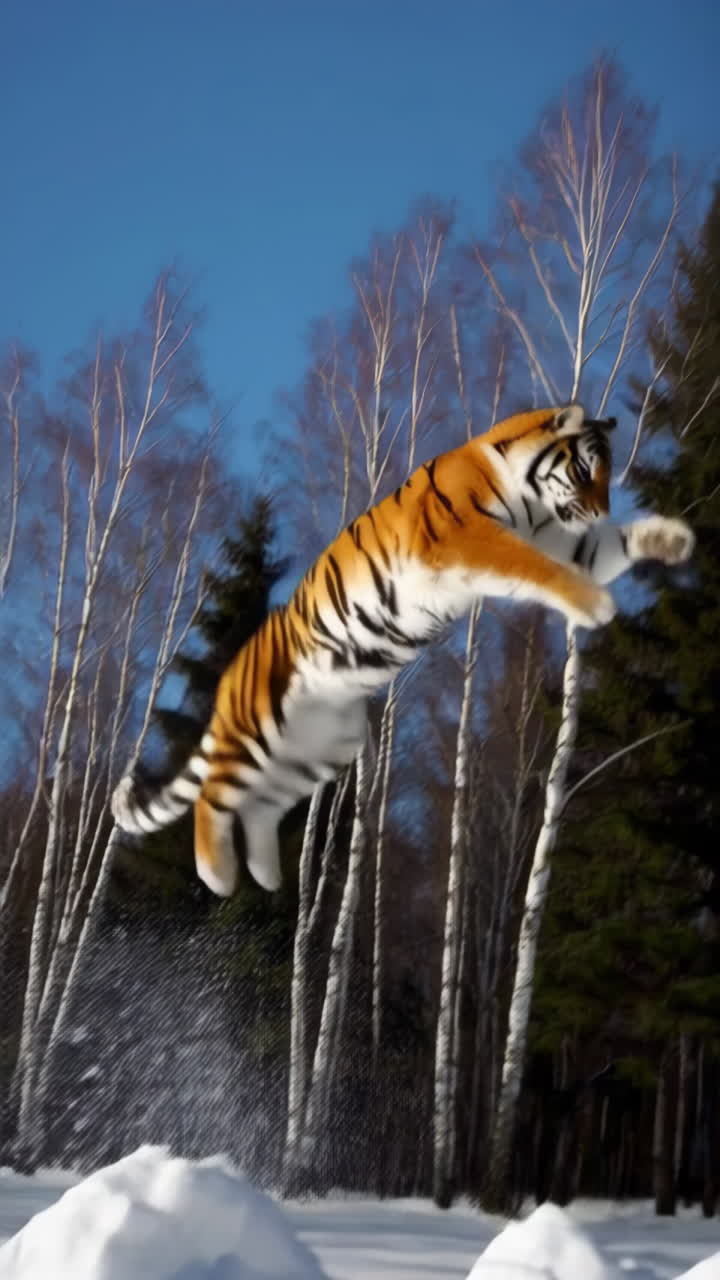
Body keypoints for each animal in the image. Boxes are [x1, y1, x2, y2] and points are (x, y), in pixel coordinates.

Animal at [112, 403, 694, 898]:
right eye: (586, 469)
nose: (601, 509)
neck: (532, 505)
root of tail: (230, 679)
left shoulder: (565, 540)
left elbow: (605, 547)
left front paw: (671, 540)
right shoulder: (470, 538)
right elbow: (538, 569)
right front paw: (596, 604)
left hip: (319, 747)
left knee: (259, 806)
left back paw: (266, 875)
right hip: (258, 725)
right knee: (212, 795)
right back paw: (218, 876)